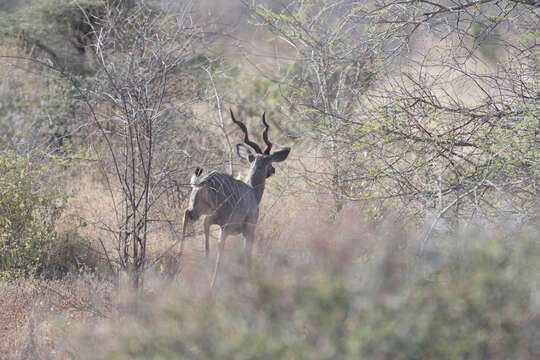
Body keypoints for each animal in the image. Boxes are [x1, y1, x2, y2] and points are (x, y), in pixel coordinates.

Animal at [182, 109, 292, 286]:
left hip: (197, 211)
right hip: (222, 220)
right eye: (269, 162)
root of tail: (203, 182)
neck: (252, 191)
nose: (273, 170)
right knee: (217, 240)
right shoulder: (249, 227)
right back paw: (212, 281)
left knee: (189, 217)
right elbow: (247, 253)